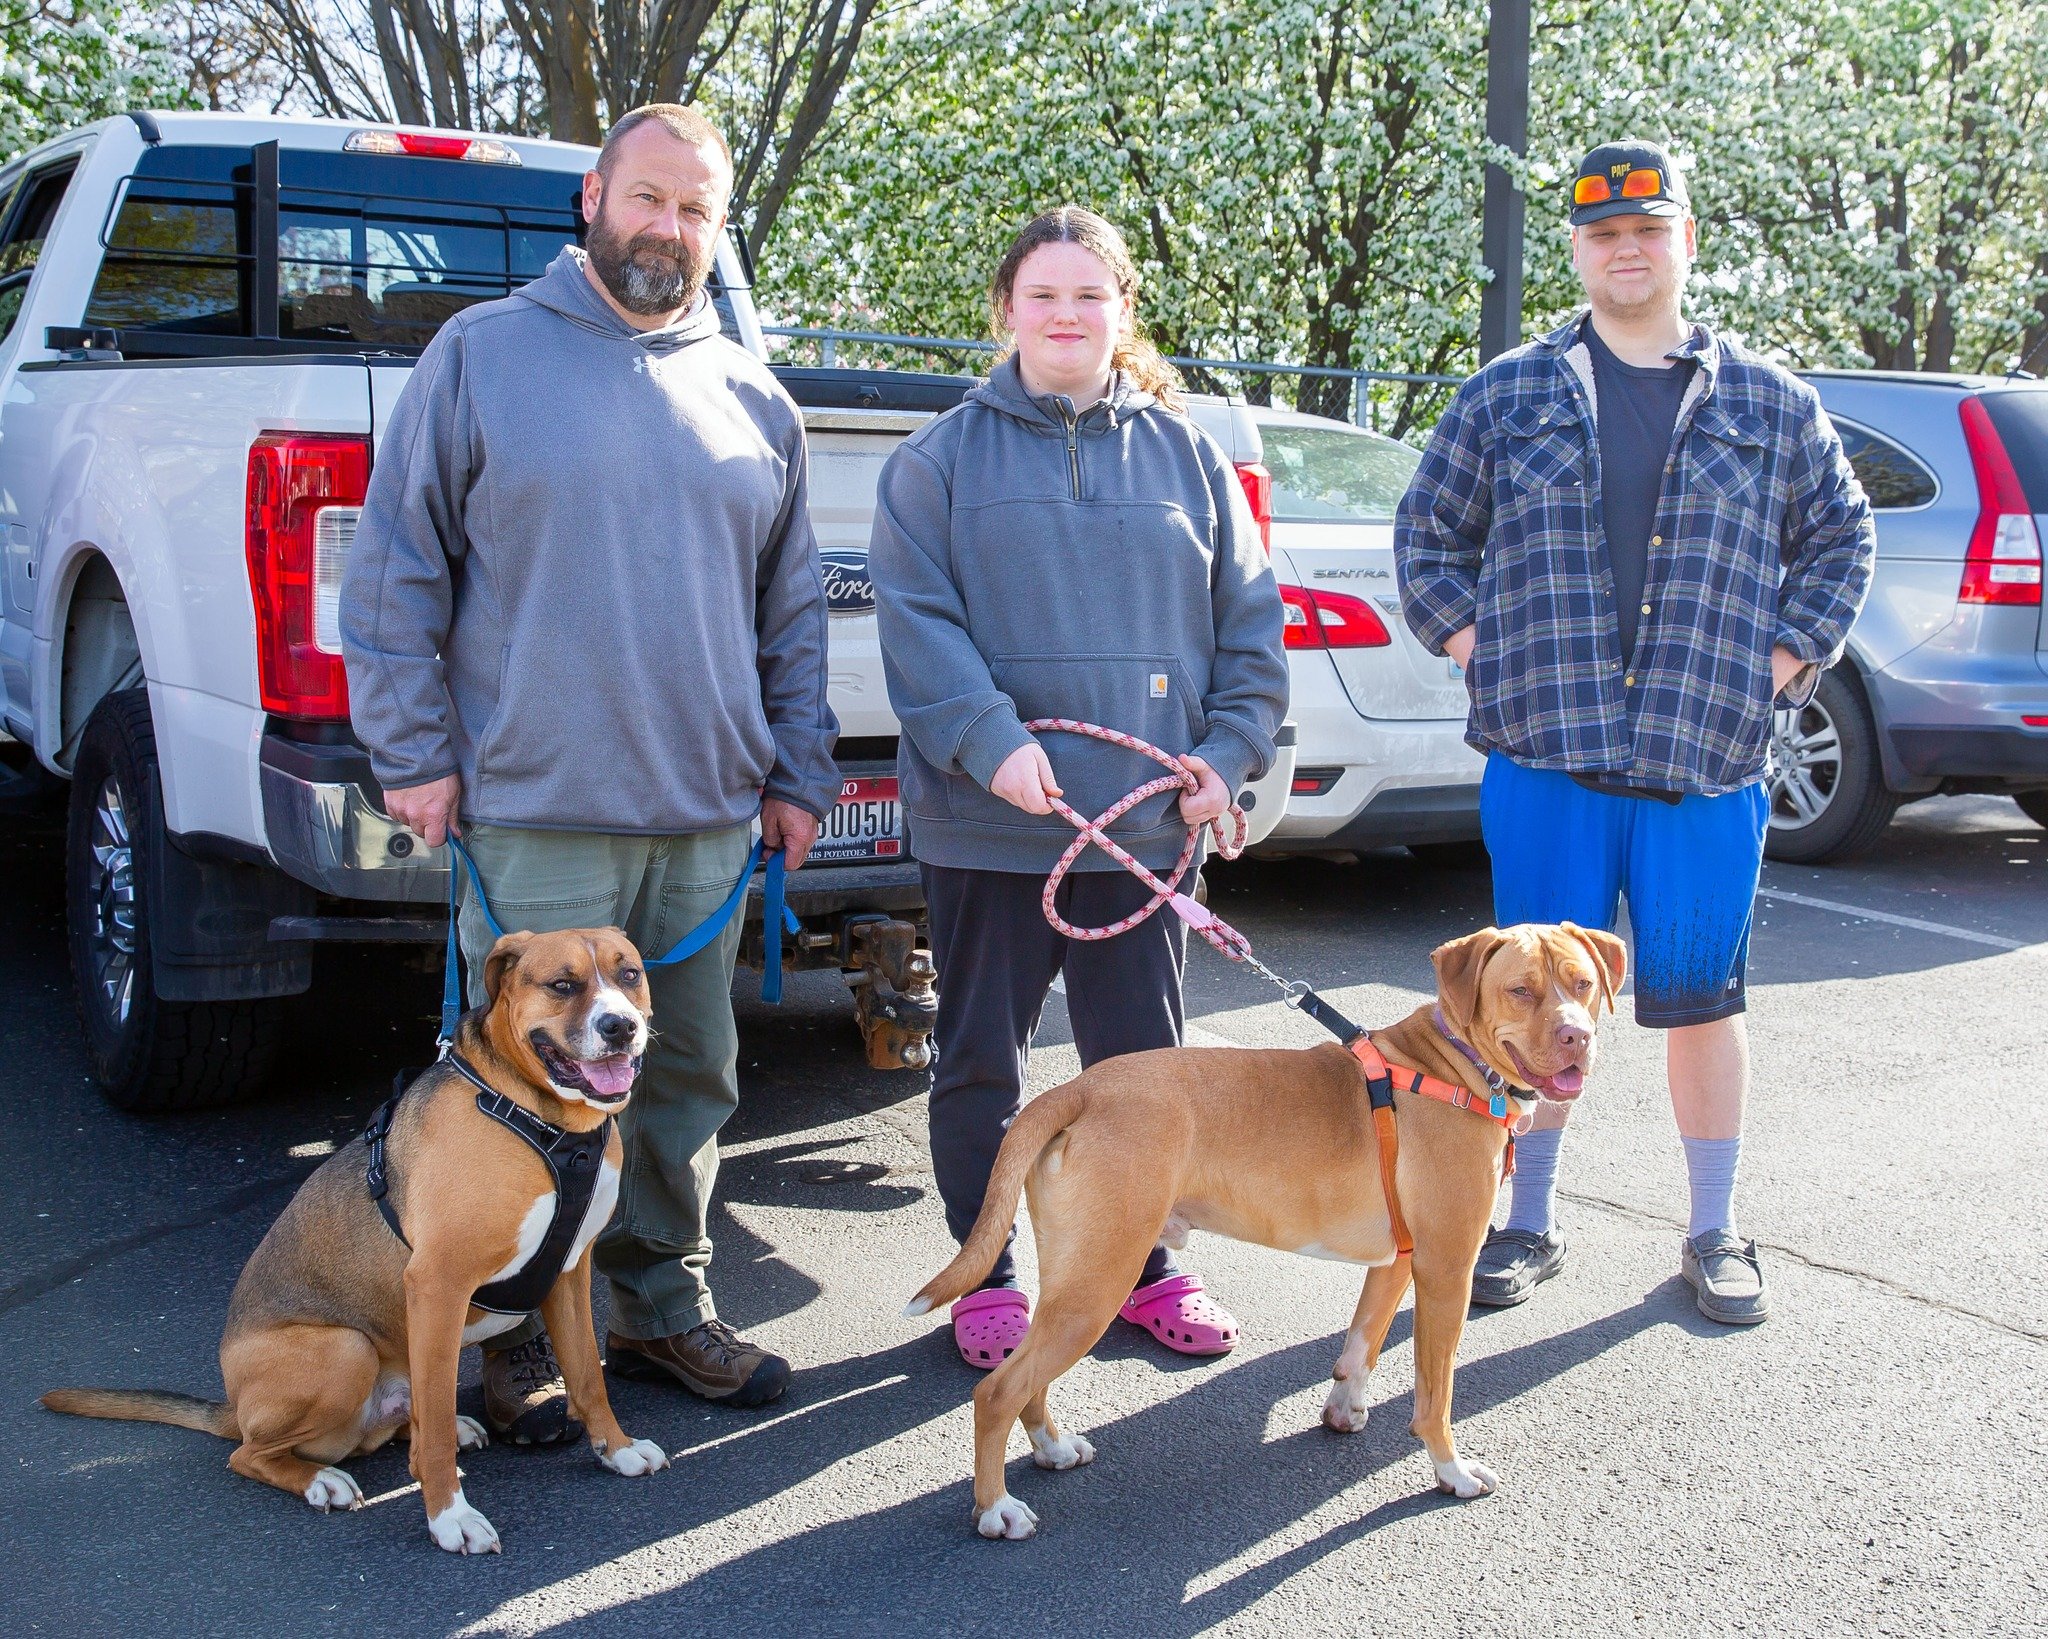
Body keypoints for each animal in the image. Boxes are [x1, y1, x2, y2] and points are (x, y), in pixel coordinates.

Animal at [44, 930, 671, 1557]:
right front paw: (449, 1517)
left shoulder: (568, 1273)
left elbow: (588, 1376)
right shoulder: (438, 1286)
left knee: (401, 1422)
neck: (545, 1122)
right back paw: (321, 1479)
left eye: (630, 975)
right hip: (347, 1350)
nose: (620, 1027)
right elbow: (434, 1430)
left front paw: (615, 1450)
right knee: (252, 1453)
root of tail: (234, 1408)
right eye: (562, 984)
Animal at [905, 921, 1622, 1540]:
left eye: (1583, 983)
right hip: (1097, 1282)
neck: (1452, 1062)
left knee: (1029, 1379)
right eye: (1520, 989)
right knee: (997, 1389)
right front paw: (1450, 1469)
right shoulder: (1447, 1270)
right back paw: (996, 1508)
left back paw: (1052, 1446)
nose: (1576, 1038)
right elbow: (1434, 1393)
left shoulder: (1395, 1261)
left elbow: (1360, 1343)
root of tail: (1079, 1089)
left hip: (1075, 1276)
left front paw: (1344, 1409)